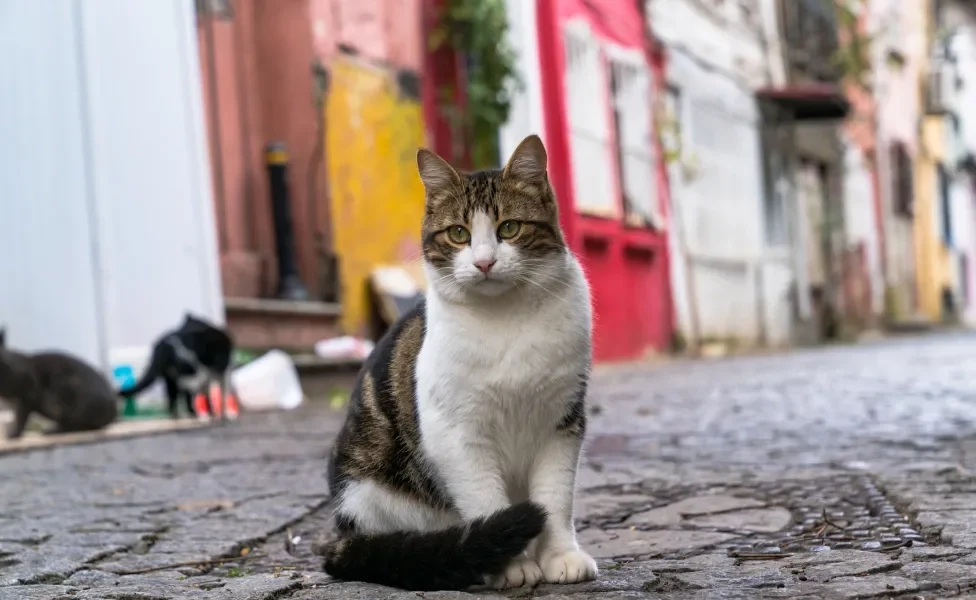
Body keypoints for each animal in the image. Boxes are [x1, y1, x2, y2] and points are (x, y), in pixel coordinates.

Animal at [322, 136, 596, 592]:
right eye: (458, 233)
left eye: (509, 228)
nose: (484, 262)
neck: (505, 317)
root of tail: (341, 534)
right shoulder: (455, 433)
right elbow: (485, 496)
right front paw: (510, 564)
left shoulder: (562, 422)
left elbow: (555, 497)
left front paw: (560, 556)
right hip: (371, 491)